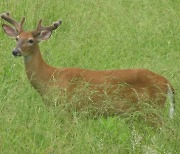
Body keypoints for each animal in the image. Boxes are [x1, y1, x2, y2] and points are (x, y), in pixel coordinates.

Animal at [0, 12, 175, 120]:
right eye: (17, 38)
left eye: (31, 40)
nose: (15, 51)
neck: (49, 77)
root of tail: (167, 82)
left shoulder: (67, 109)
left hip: (152, 110)